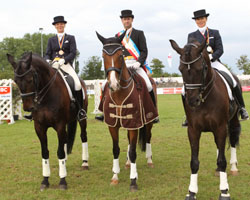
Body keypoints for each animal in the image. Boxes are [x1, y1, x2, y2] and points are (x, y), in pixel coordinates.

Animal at [6, 52, 88, 191]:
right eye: (16, 81)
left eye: (30, 79)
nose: (28, 108)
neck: (46, 96)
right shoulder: (39, 127)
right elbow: (45, 152)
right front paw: (45, 180)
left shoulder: (59, 125)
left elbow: (59, 152)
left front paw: (62, 181)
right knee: (66, 139)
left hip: (81, 118)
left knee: (83, 136)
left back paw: (85, 163)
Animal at [96, 32, 157, 191]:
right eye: (103, 56)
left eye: (120, 56)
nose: (113, 84)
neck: (119, 94)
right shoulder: (113, 125)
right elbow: (116, 149)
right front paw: (115, 177)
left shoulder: (134, 123)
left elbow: (134, 151)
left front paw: (133, 180)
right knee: (130, 142)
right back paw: (128, 163)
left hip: (148, 120)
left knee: (148, 137)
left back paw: (149, 160)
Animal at [169, 39, 241, 200]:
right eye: (180, 69)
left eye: (200, 68)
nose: (192, 101)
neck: (205, 97)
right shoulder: (193, 130)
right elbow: (194, 162)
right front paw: (191, 192)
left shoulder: (220, 127)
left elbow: (222, 160)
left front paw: (224, 192)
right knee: (219, 146)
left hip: (232, 122)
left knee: (233, 140)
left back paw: (233, 167)